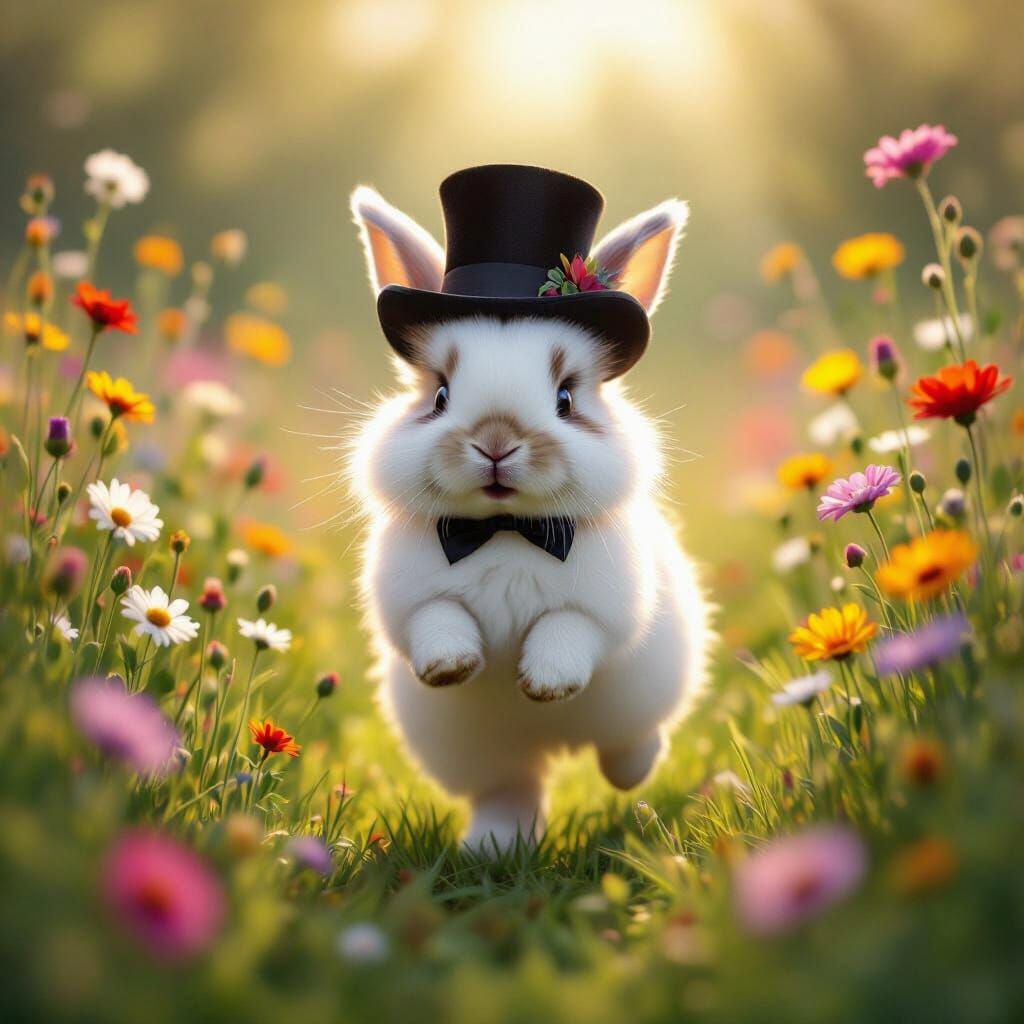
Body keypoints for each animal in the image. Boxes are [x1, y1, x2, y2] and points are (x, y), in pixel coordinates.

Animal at [346, 169, 712, 850]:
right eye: (440, 395)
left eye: (565, 398)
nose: (496, 441)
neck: (505, 531)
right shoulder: (409, 601)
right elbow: (438, 619)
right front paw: (452, 665)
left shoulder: (603, 609)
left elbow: (568, 628)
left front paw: (545, 683)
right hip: (483, 756)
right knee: (511, 788)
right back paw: (492, 848)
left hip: (642, 694)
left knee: (628, 746)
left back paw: (633, 768)